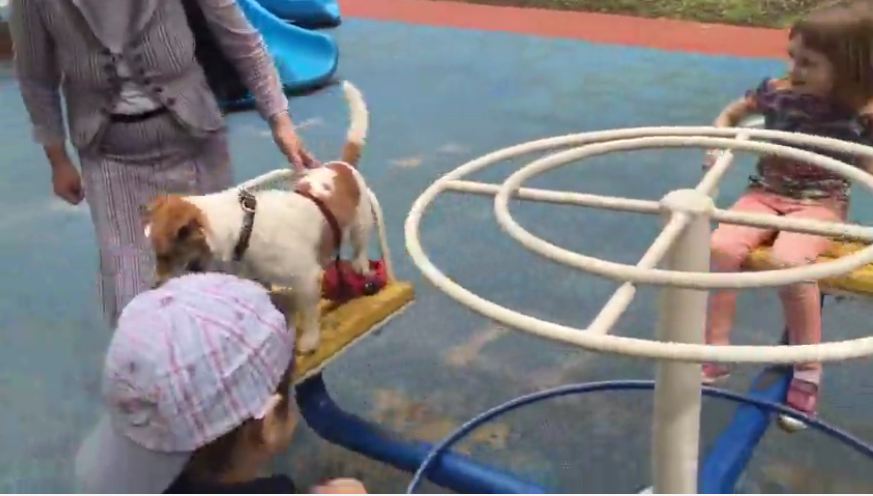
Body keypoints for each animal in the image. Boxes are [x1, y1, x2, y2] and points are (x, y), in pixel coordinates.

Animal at [142, 82, 372, 352]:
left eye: (165, 256)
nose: (154, 286)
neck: (245, 226)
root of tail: (340, 166)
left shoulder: (306, 278)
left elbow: (308, 312)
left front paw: (308, 340)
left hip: (360, 224)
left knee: (360, 245)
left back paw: (361, 263)